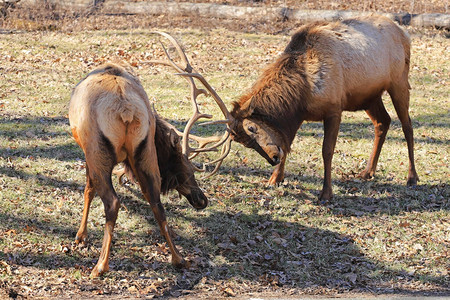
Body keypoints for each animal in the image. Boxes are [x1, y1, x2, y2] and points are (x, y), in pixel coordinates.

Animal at [69, 60, 222, 276]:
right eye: (189, 171)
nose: (202, 200)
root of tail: (125, 109)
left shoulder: (86, 154)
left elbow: (88, 190)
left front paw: (81, 236)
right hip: (146, 151)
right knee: (156, 202)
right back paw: (178, 259)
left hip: (97, 151)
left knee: (112, 202)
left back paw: (100, 266)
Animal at [227, 15, 420, 200]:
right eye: (244, 143)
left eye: (252, 128)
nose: (273, 158)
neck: (303, 91)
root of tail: (405, 33)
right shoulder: (299, 116)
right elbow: (287, 143)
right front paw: (275, 179)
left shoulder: (334, 110)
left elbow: (327, 151)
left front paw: (326, 193)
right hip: (369, 97)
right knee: (383, 121)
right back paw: (367, 172)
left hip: (399, 83)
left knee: (407, 126)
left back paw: (412, 177)